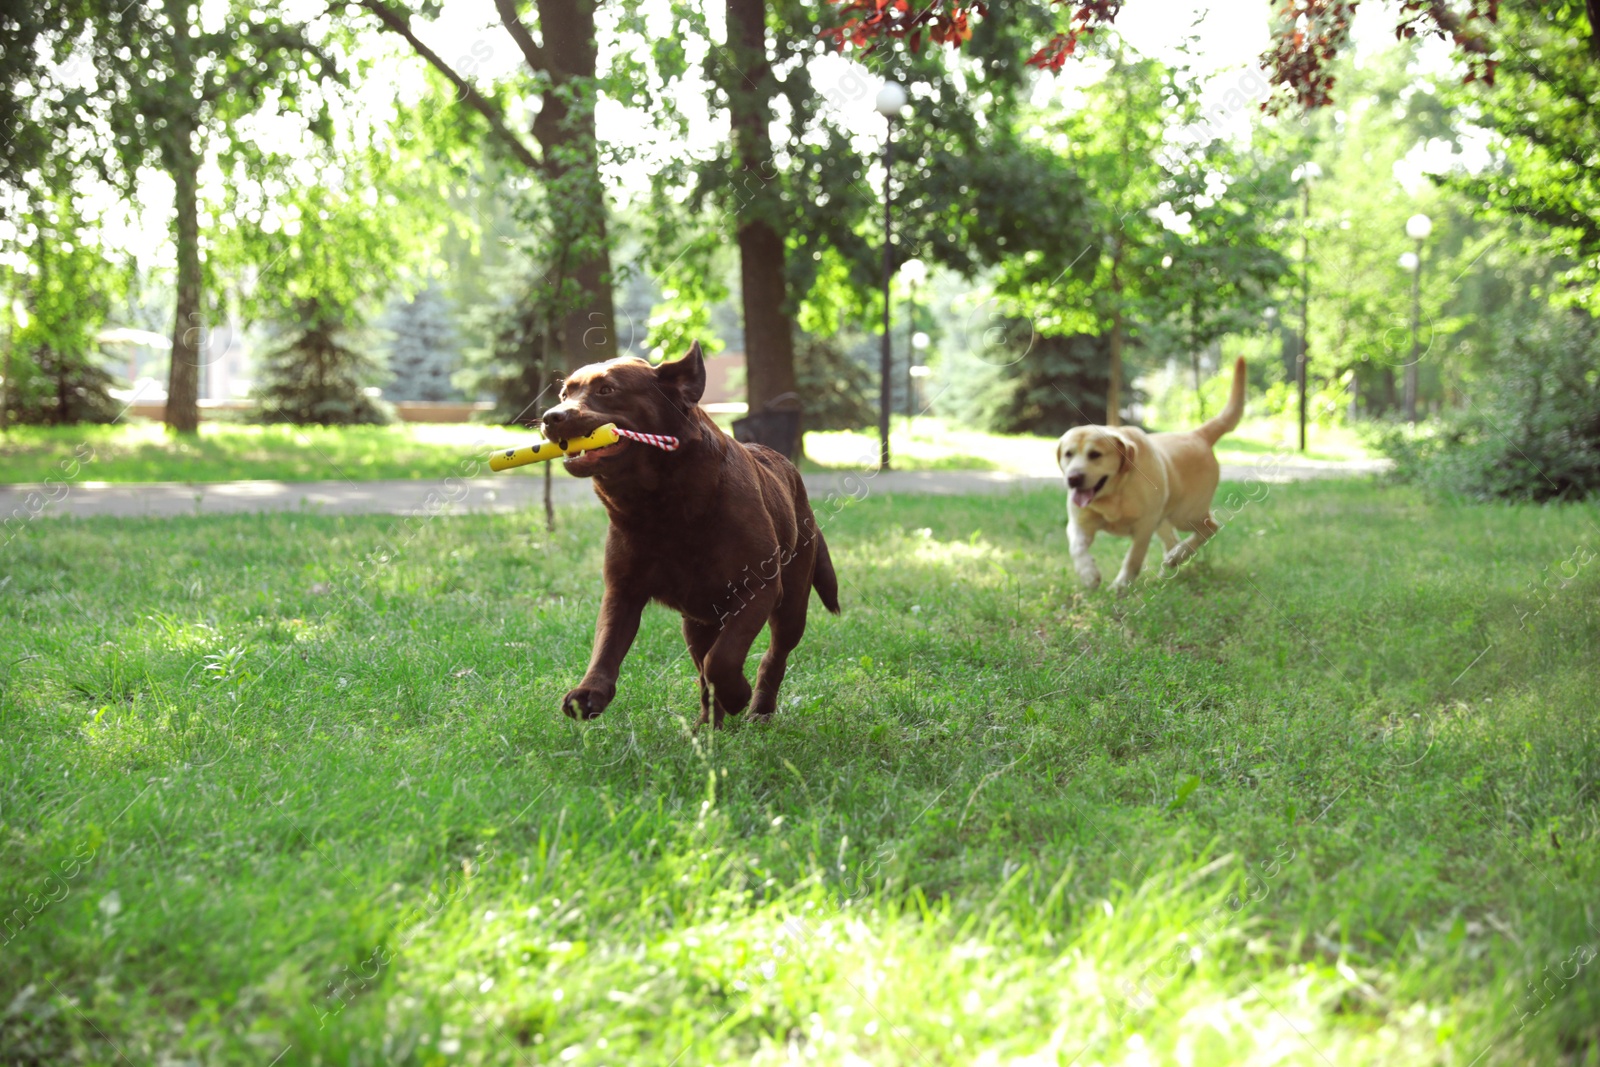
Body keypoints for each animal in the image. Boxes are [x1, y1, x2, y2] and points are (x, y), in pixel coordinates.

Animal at [537, 342, 838, 726]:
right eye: (565, 394)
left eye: (607, 390)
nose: (551, 416)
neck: (660, 507)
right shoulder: (622, 590)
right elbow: (607, 645)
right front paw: (590, 693)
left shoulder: (759, 588)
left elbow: (723, 659)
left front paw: (737, 694)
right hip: (696, 623)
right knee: (702, 667)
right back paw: (709, 724)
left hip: (792, 604)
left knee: (773, 656)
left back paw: (759, 711)